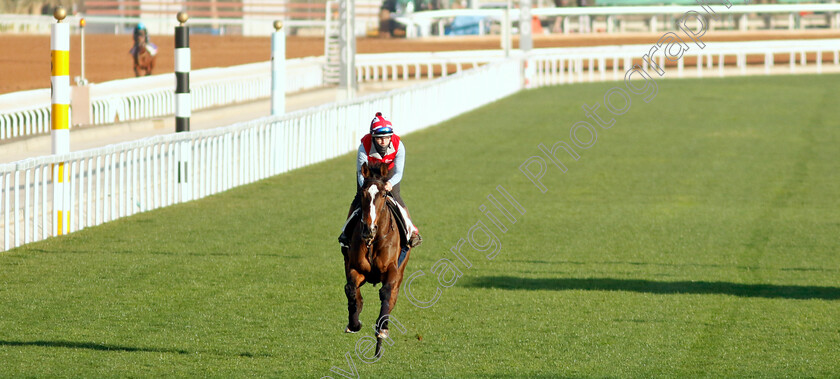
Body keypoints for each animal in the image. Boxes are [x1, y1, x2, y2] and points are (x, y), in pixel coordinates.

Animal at [342, 163, 412, 356]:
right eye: (363, 193)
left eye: (383, 194)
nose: (369, 228)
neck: (372, 241)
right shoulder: (355, 268)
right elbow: (351, 289)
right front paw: (354, 323)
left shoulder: (392, 269)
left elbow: (386, 293)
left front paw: (381, 330)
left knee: (392, 295)